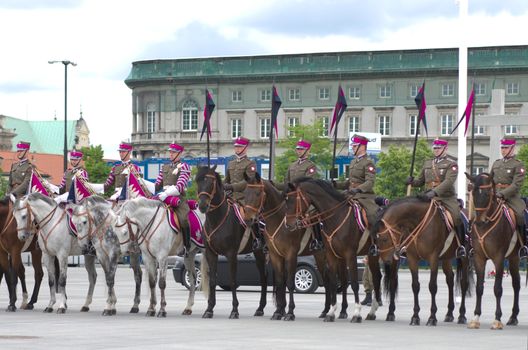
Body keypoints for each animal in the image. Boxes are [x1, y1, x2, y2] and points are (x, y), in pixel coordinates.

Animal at [195, 165, 268, 318]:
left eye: (211, 182)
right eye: (197, 181)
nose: (203, 205)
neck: (217, 219)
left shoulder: (231, 254)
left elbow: (233, 281)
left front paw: (234, 310)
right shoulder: (211, 254)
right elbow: (212, 281)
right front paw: (209, 309)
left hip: (262, 253)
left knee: (264, 278)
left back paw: (262, 308)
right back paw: (260, 308)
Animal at [244, 172, 352, 320]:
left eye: (257, 193)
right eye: (245, 192)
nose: (248, 219)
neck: (278, 220)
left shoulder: (291, 254)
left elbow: (289, 283)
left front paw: (289, 312)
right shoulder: (275, 255)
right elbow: (280, 282)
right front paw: (279, 312)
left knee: (343, 280)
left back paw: (343, 311)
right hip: (320, 255)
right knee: (327, 280)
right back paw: (325, 311)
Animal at [284, 178, 376, 322]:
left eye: (293, 200)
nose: (288, 224)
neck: (336, 216)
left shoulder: (350, 254)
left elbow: (354, 283)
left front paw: (356, 313)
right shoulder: (331, 254)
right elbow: (332, 283)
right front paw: (331, 312)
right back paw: (372, 312)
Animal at [372, 196, 470, 326]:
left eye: (384, 239)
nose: (385, 261)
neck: (418, 222)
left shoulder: (433, 259)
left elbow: (432, 286)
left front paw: (432, 317)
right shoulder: (412, 259)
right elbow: (414, 286)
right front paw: (414, 316)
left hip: (464, 258)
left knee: (464, 283)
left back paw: (462, 315)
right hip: (446, 258)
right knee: (450, 280)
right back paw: (449, 314)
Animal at [466, 172, 524, 328]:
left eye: (487, 194)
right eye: (473, 192)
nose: (479, 221)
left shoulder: (498, 258)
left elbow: (497, 288)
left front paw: (497, 319)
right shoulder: (478, 258)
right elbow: (479, 288)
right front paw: (476, 317)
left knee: (516, 284)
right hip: (513, 257)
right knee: (516, 284)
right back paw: (513, 317)